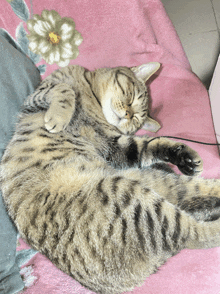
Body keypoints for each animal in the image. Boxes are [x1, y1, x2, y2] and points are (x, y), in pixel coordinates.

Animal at [0, 62, 220, 294]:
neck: (92, 95)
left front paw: (184, 156)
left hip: (133, 190)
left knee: (196, 231)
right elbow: (64, 89)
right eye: (131, 98)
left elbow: (151, 144)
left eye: (136, 119)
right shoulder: (36, 98)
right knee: (190, 217)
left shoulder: (116, 146)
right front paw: (59, 117)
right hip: (140, 186)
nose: (128, 115)